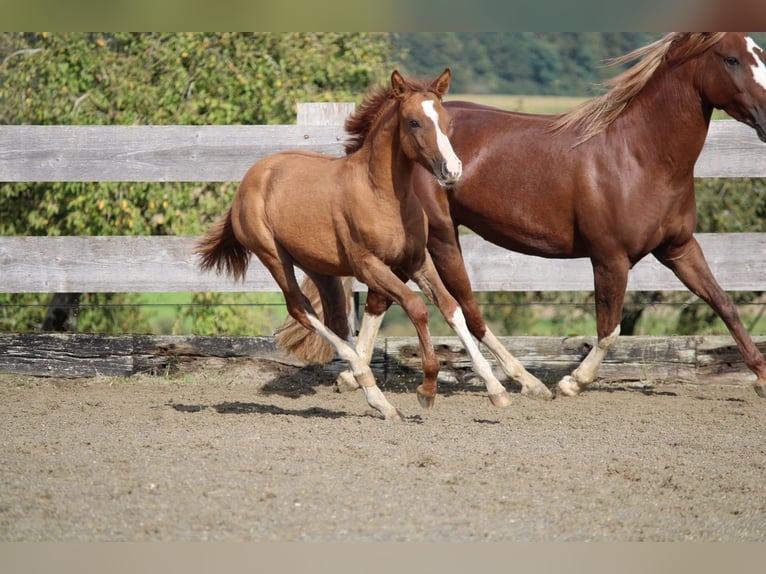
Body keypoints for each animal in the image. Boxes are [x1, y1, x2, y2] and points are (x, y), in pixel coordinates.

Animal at [196, 70, 516, 424]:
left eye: (447, 121)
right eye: (414, 122)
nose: (452, 170)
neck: (382, 194)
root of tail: (251, 178)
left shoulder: (417, 261)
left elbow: (451, 308)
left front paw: (496, 390)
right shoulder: (370, 266)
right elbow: (416, 307)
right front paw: (427, 390)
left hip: (319, 267)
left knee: (335, 318)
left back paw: (378, 398)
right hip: (274, 257)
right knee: (300, 308)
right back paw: (365, 377)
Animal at [282, 32, 766, 400]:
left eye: (758, 52)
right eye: (731, 59)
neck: (640, 155)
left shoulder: (679, 248)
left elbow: (725, 304)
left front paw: (760, 376)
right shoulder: (609, 258)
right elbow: (609, 330)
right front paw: (572, 382)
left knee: (385, 299)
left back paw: (354, 374)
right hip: (441, 237)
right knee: (463, 307)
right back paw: (526, 381)